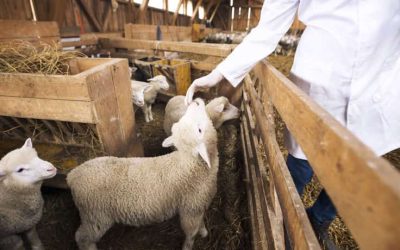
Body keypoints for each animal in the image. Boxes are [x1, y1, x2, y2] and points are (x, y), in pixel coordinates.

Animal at [67, 98, 220, 250]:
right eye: (199, 130)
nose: (196, 102)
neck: (191, 163)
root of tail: (72, 175)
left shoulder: (198, 206)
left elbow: (200, 222)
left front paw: (204, 231)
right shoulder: (190, 209)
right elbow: (191, 233)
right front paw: (189, 244)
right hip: (96, 216)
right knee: (81, 237)